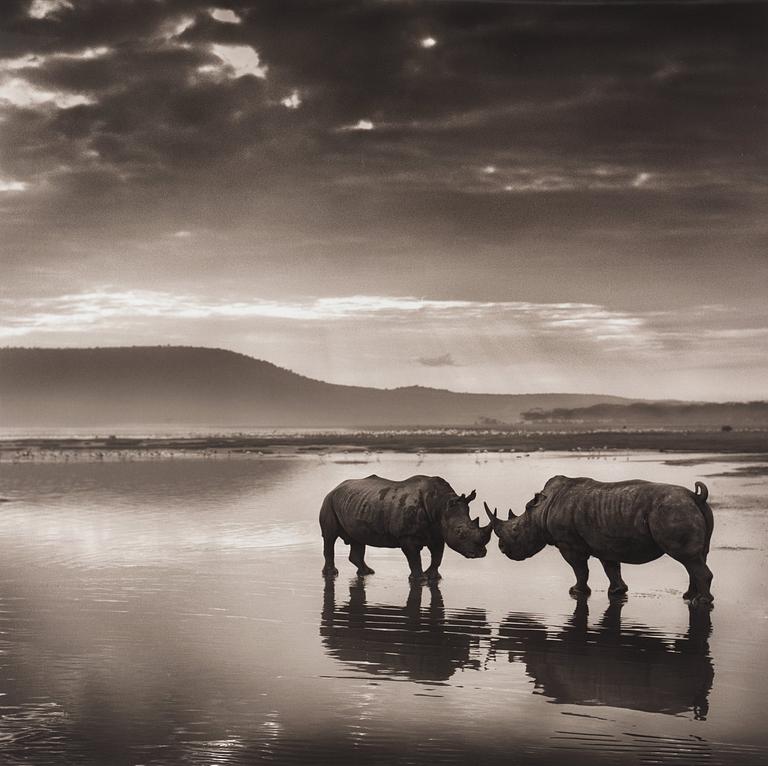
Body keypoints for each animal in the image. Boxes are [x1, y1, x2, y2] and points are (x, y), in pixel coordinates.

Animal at [320, 474, 492, 584]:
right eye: (459, 532)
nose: (480, 553)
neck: (441, 504)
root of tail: (336, 487)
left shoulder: (438, 533)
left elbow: (437, 556)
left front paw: (434, 577)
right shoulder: (407, 536)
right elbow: (414, 559)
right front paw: (420, 580)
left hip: (355, 503)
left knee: (358, 538)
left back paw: (368, 572)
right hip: (328, 501)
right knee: (329, 537)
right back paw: (331, 574)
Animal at [486, 474, 712, 608]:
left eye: (516, 530)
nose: (501, 548)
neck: (540, 512)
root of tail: (695, 496)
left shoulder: (569, 544)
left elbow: (580, 569)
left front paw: (576, 591)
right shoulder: (606, 542)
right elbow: (611, 568)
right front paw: (617, 591)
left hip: (673, 510)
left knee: (688, 558)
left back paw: (701, 601)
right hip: (685, 509)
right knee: (696, 557)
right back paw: (688, 597)